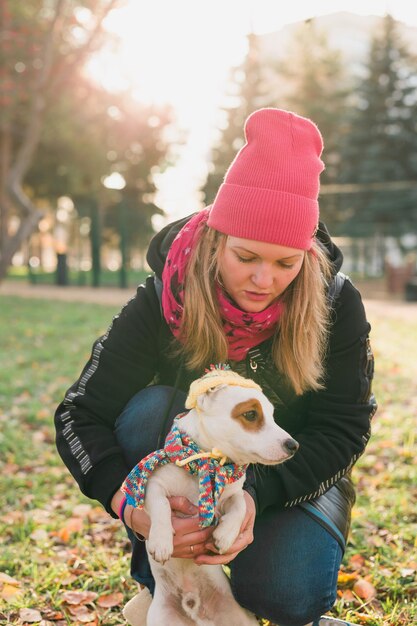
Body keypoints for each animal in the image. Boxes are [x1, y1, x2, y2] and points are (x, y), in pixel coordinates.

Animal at [120, 366, 296, 624]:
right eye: (251, 414)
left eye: (273, 416)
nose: (293, 445)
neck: (208, 461)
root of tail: (194, 607)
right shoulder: (154, 484)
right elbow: (161, 506)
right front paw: (161, 541)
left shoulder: (233, 494)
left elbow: (241, 505)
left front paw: (225, 536)